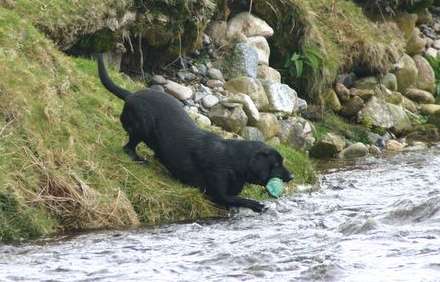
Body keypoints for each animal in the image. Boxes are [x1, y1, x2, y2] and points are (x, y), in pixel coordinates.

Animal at [98, 54, 294, 213]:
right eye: (276, 164)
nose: (292, 176)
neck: (235, 161)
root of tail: (131, 95)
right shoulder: (217, 192)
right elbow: (240, 199)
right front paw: (258, 205)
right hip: (141, 127)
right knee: (128, 147)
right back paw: (138, 158)